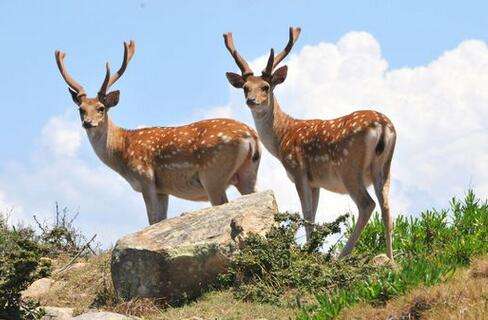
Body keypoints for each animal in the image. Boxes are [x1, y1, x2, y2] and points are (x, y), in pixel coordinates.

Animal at [55, 40, 262, 225]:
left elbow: (152, 221)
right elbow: (160, 219)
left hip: (213, 174)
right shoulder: (163, 189)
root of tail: (251, 136)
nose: (88, 123)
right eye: (81, 109)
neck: (123, 150)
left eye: (101, 108)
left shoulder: (146, 179)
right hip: (248, 172)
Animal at [225, 27, 396, 260]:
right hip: (384, 167)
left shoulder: (299, 172)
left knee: (367, 204)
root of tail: (383, 126)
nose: (251, 101)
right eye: (245, 87)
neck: (282, 138)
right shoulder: (316, 182)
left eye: (266, 87)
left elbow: (306, 215)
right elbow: (313, 216)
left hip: (349, 168)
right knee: (387, 208)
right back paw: (390, 258)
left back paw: (342, 255)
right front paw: (312, 248)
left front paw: (309, 252)